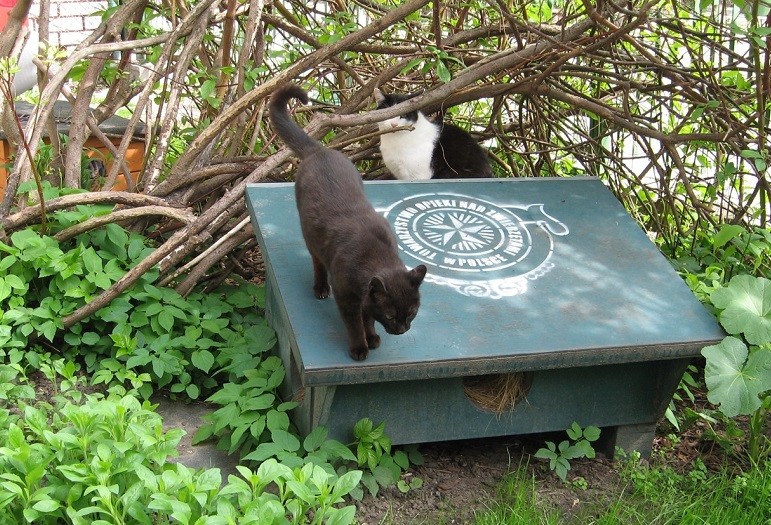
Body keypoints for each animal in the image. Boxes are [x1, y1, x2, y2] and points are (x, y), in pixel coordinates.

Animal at [270, 83, 428, 360]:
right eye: (391, 315)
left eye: (411, 313)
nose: (402, 330)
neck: (376, 254)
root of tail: (320, 150)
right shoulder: (346, 298)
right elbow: (355, 323)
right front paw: (360, 347)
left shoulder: (365, 298)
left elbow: (368, 317)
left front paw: (373, 337)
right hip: (311, 238)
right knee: (317, 262)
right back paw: (320, 288)